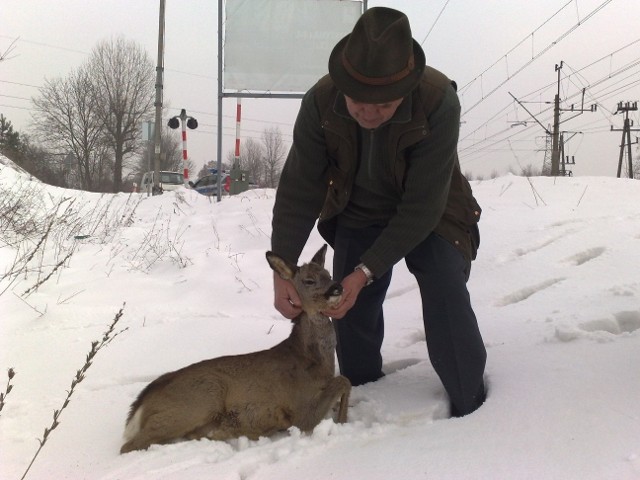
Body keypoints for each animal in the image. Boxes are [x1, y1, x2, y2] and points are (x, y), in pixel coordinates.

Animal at [120, 244, 350, 454]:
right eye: (309, 280)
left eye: (328, 274)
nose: (337, 287)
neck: (312, 360)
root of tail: (140, 405)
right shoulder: (300, 410)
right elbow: (343, 381)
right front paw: (342, 421)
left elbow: (343, 381)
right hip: (200, 399)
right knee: (129, 446)